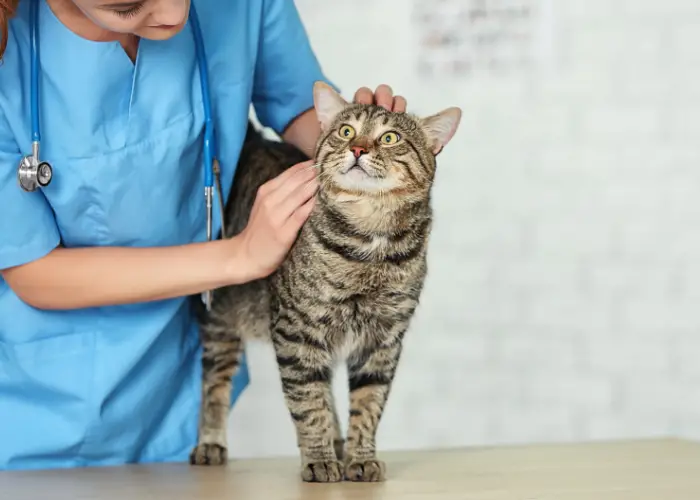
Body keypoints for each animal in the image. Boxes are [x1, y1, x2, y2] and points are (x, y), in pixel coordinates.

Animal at [189, 81, 462, 480]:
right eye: (346, 131)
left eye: (390, 138)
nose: (358, 148)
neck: (370, 242)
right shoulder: (297, 331)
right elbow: (308, 402)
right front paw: (318, 459)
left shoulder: (382, 341)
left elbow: (368, 405)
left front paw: (360, 458)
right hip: (220, 320)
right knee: (215, 383)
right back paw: (211, 443)